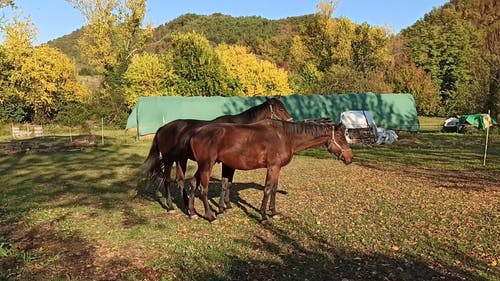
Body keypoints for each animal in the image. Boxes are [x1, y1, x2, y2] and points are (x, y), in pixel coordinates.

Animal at [143, 96, 292, 210]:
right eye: (280, 108)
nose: (290, 121)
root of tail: (162, 128)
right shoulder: (227, 163)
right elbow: (225, 184)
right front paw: (223, 206)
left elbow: (228, 183)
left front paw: (227, 205)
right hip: (169, 160)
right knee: (167, 180)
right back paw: (170, 206)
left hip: (181, 159)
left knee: (179, 180)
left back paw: (187, 204)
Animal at [186, 118, 354, 221]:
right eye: (341, 138)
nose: (350, 158)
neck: (285, 137)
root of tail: (195, 133)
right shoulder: (272, 167)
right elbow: (267, 189)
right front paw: (263, 216)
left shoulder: (277, 168)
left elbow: (273, 189)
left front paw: (274, 213)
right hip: (207, 165)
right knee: (203, 189)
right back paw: (210, 216)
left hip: (202, 166)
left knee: (193, 184)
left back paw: (192, 213)